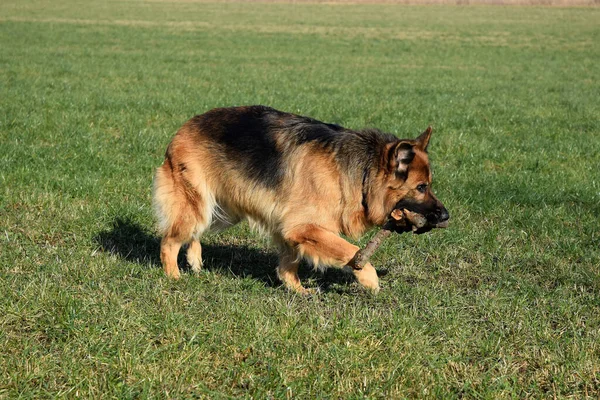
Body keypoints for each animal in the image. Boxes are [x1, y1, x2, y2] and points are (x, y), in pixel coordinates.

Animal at [152, 106, 448, 294]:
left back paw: (195, 261)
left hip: (221, 210)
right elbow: (350, 250)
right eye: (421, 187)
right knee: (170, 240)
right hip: (198, 205)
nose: (446, 216)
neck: (363, 172)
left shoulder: (290, 230)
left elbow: (289, 262)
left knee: (193, 233)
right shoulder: (304, 227)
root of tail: (185, 127)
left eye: (428, 185)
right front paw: (369, 278)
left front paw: (296, 289)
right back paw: (174, 276)